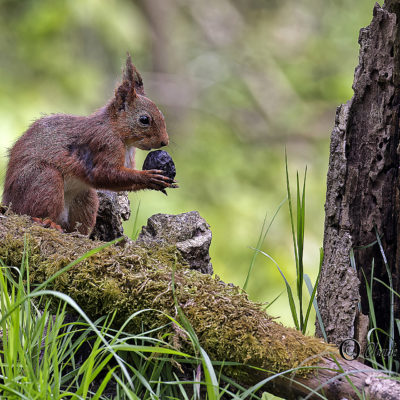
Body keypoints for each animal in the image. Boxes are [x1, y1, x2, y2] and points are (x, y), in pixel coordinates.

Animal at [1, 53, 177, 234]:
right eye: (144, 119)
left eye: (161, 114)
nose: (164, 141)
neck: (117, 132)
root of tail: (8, 201)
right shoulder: (104, 143)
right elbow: (104, 174)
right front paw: (148, 177)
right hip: (43, 180)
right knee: (32, 210)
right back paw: (48, 222)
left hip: (85, 198)